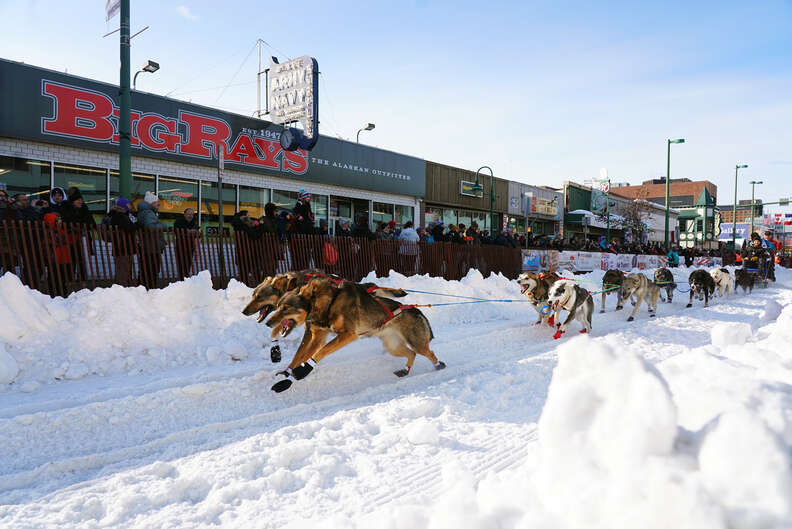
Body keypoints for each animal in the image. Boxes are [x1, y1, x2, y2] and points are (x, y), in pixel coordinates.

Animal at [262, 278, 442, 390]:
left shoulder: (348, 335)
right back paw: (405, 370)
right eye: (278, 306)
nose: (267, 323)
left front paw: (302, 371)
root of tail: (416, 310)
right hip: (393, 346)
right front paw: (287, 372)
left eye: (286, 308)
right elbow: (299, 355)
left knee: (429, 353)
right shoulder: (317, 336)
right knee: (411, 353)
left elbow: (320, 352)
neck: (327, 302)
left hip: (417, 344)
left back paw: (439, 366)